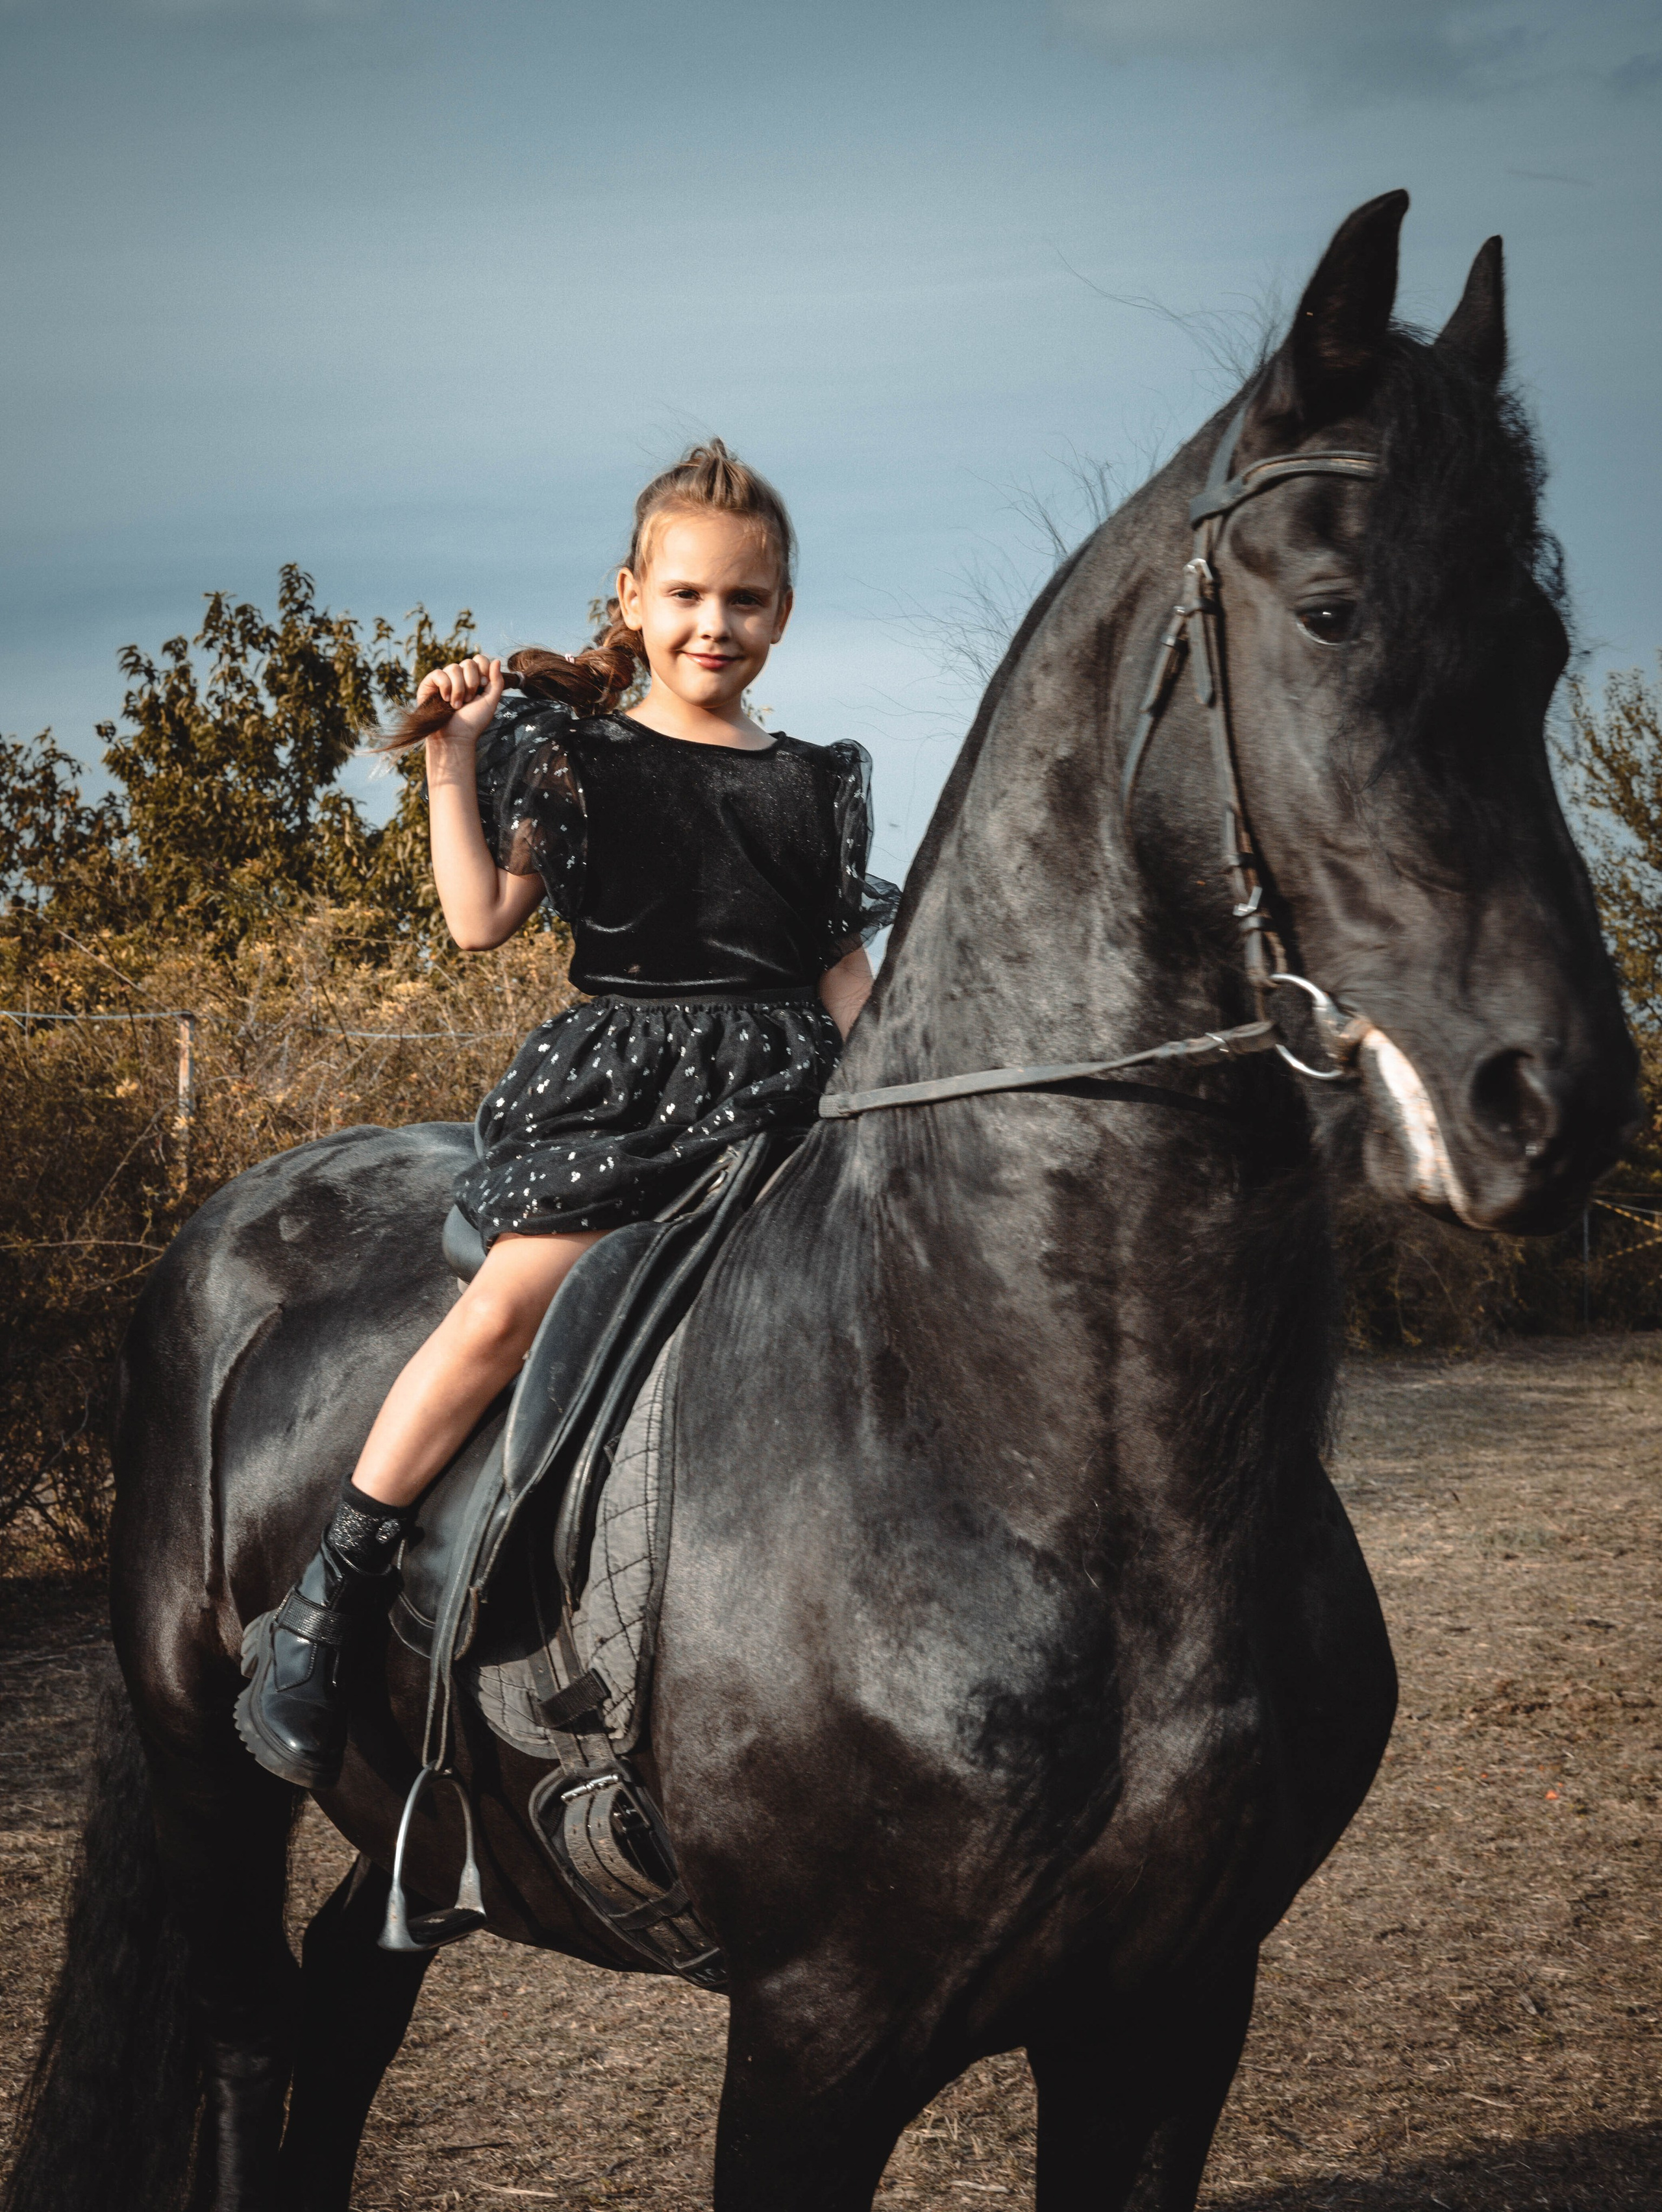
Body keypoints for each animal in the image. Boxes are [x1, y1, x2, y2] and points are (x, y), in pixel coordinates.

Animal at [6, 190, 1636, 2212]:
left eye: (1543, 636)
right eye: (1330, 610)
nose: (1552, 1099)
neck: (986, 1423)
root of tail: (227, 1223)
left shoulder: (1174, 2014)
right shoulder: (815, 2035)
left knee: (341, 1999)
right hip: (206, 1770)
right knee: (246, 2037)